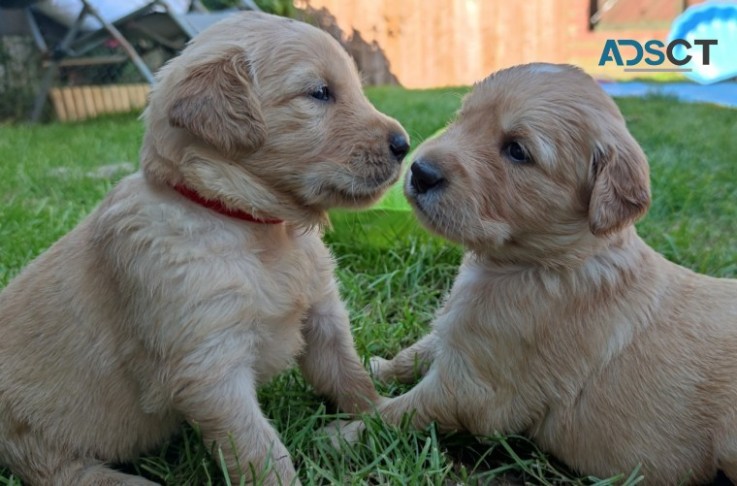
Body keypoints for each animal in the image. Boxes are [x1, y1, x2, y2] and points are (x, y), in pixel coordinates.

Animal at [0, 11, 408, 486]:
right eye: (320, 92)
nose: (403, 144)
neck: (248, 222)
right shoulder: (210, 365)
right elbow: (258, 449)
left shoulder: (322, 313)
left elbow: (347, 373)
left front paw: (380, 417)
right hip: (30, 436)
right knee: (63, 471)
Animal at [354, 62, 736, 484]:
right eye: (462, 117)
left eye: (517, 151)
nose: (420, 171)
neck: (546, 263)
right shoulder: (458, 334)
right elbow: (418, 350)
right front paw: (375, 367)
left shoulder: (475, 388)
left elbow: (396, 413)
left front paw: (339, 433)